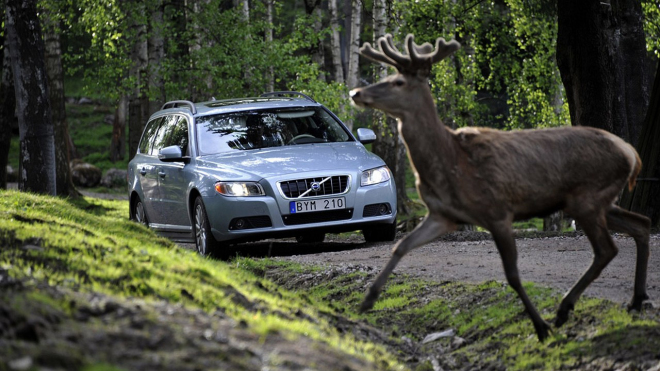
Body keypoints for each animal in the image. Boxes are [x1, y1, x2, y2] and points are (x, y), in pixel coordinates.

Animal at [350, 35, 648, 342]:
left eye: (398, 82)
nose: (356, 93)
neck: (451, 161)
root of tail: (631, 153)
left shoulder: (497, 210)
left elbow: (512, 274)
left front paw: (540, 327)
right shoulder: (443, 215)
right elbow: (400, 246)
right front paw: (368, 300)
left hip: (588, 197)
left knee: (607, 249)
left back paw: (565, 309)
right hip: (596, 201)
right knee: (641, 223)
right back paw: (634, 301)